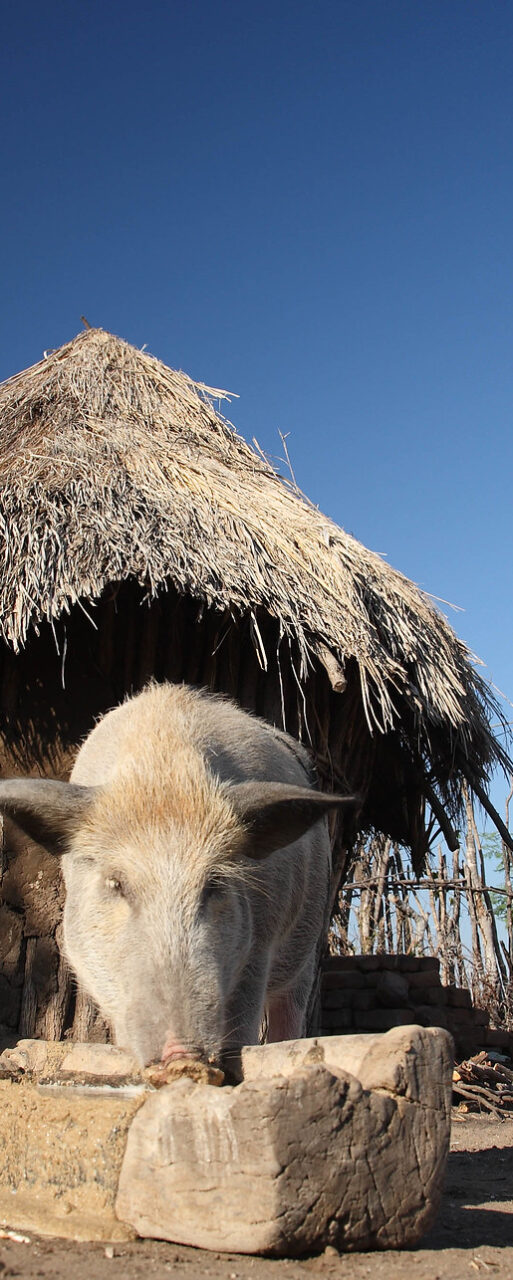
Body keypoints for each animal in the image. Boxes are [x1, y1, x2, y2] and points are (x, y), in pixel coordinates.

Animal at [0, 682, 358, 1067]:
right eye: (115, 883)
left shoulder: (260, 942)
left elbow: (243, 1018)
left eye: (214, 883)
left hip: (308, 938)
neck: (162, 774)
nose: (180, 1051)